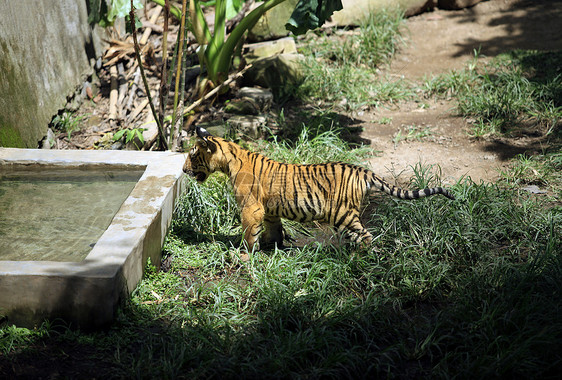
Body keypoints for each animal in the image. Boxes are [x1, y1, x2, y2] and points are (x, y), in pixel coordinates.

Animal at [182, 126, 452, 251]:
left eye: (192, 155)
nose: (183, 170)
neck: (229, 159)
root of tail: (363, 170)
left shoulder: (251, 208)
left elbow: (249, 234)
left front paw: (245, 255)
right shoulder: (269, 210)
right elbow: (272, 229)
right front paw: (272, 246)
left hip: (342, 213)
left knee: (366, 235)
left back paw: (360, 258)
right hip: (344, 218)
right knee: (359, 235)